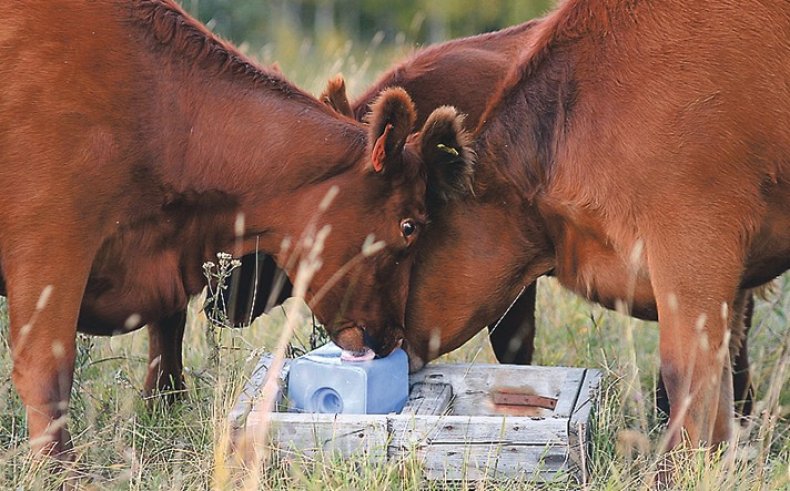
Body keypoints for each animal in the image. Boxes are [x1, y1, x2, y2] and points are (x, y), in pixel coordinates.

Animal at [0, 0, 474, 458]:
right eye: (410, 226)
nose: (393, 338)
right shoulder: (51, 246)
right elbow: (47, 374)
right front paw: (60, 471)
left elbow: (168, 344)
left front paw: (163, 414)